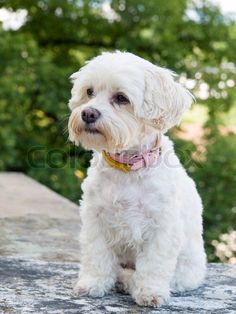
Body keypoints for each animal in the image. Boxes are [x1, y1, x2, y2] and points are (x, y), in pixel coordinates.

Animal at [67, 51, 206, 306]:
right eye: (89, 92)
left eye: (121, 98)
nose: (88, 113)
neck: (127, 167)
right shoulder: (96, 219)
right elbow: (96, 255)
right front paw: (92, 284)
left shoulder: (162, 228)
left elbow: (154, 264)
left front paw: (150, 292)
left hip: (186, 271)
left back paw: (127, 282)